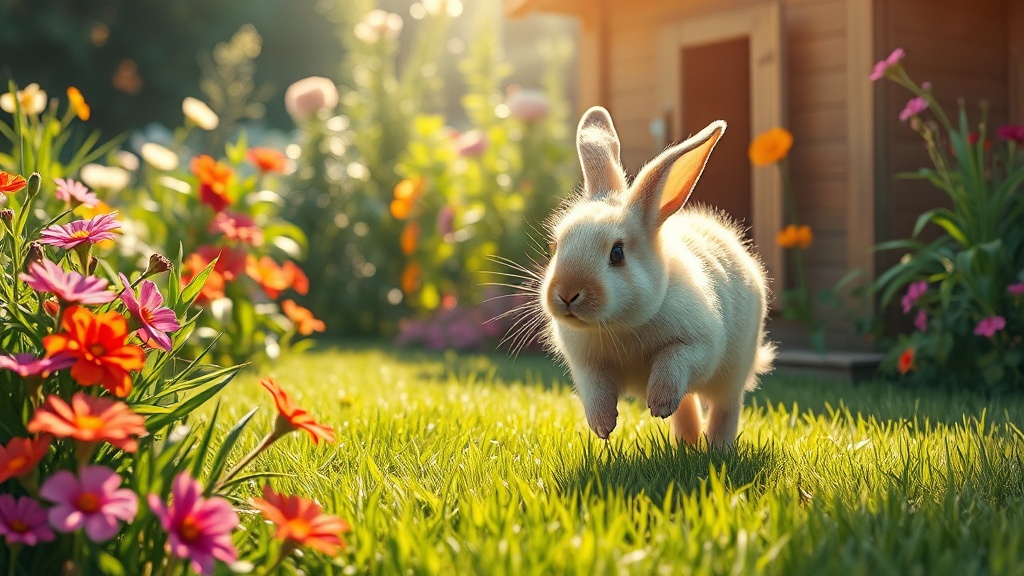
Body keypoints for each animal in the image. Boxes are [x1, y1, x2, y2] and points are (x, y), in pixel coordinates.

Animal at [539, 106, 775, 449]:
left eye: (617, 253)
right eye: (555, 246)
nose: (567, 294)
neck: (621, 326)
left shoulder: (697, 345)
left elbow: (672, 363)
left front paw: (659, 405)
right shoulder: (586, 365)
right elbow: (595, 393)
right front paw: (603, 427)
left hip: (733, 375)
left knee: (724, 409)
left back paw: (717, 449)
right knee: (687, 406)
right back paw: (686, 444)